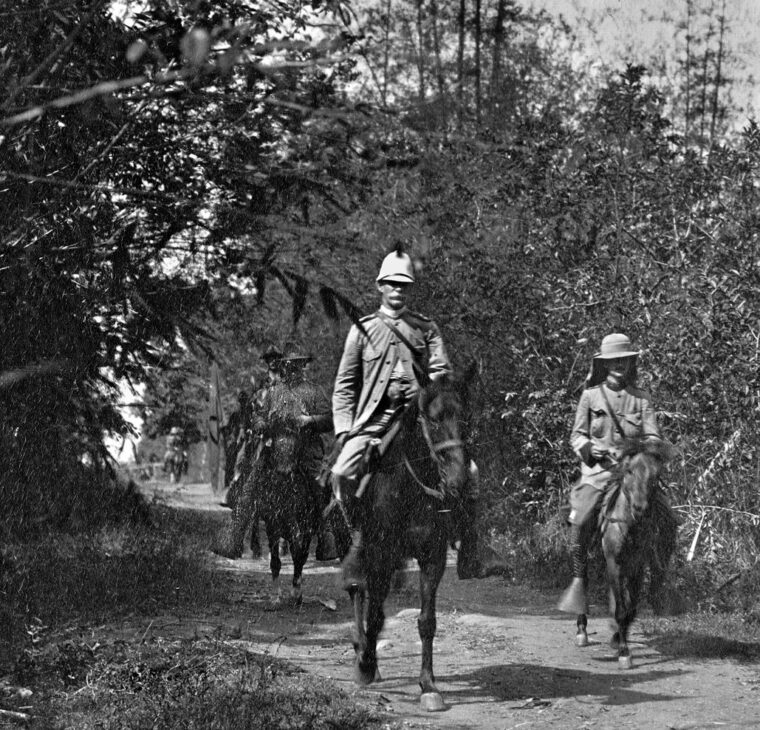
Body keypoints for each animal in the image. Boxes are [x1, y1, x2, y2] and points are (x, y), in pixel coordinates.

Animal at [344, 370, 470, 704]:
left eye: (465, 418)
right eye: (433, 420)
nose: (458, 480)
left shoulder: (433, 556)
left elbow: (427, 621)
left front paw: (428, 685)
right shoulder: (380, 552)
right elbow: (375, 613)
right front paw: (365, 665)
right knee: (358, 589)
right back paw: (364, 653)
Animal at [576, 436, 676, 668]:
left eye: (655, 474)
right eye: (629, 470)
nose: (640, 508)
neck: (630, 525)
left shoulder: (637, 565)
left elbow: (630, 608)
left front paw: (619, 640)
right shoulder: (615, 563)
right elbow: (622, 609)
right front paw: (624, 653)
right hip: (585, 550)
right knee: (582, 578)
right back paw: (582, 630)